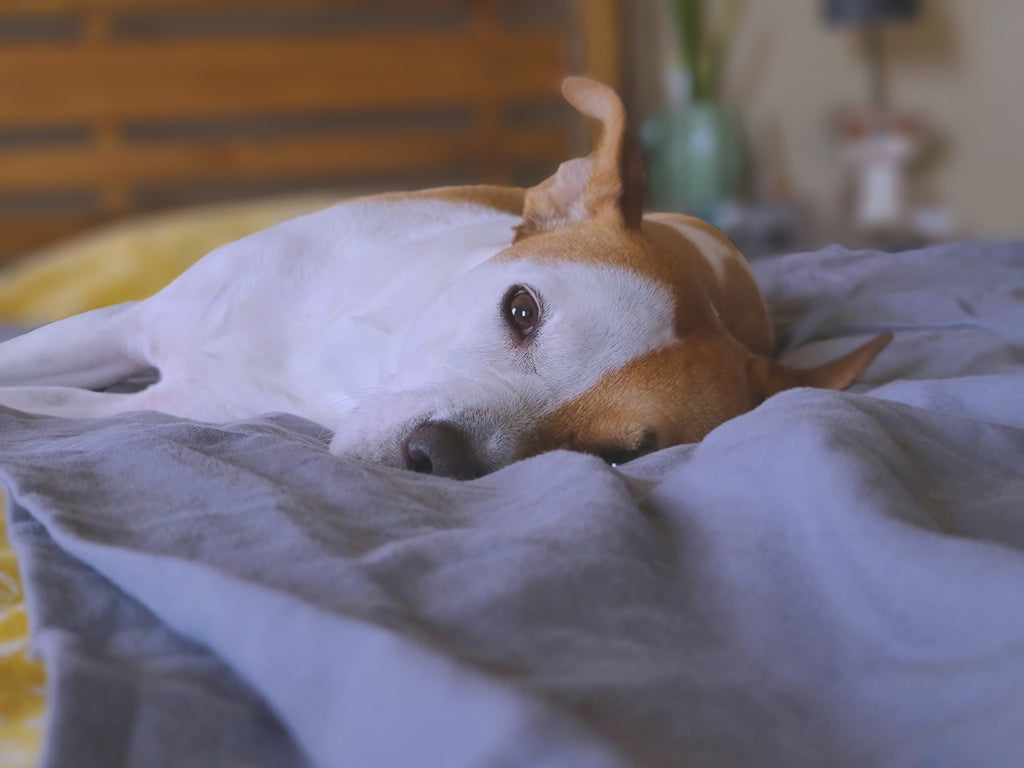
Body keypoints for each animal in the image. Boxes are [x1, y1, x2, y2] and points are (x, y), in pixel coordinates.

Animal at [0, 76, 888, 475]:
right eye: (522, 309)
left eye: (613, 456)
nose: (435, 455)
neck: (336, 364)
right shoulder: (126, 324)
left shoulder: (167, 404)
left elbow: (47, 403)